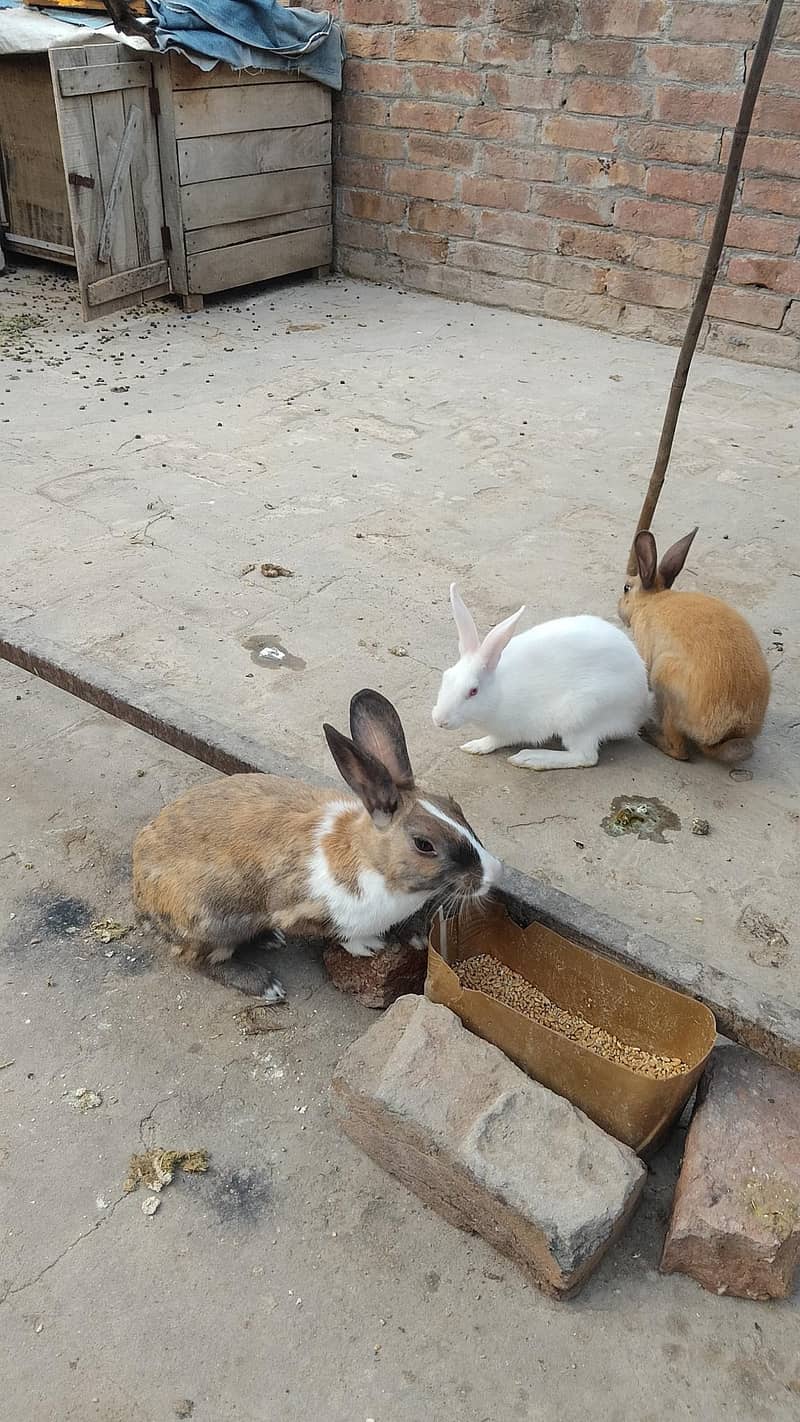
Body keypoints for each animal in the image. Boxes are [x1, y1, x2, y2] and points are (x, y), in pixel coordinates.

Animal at [133, 689, 501, 1000]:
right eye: (424, 844)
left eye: (454, 805)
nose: (491, 874)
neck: (373, 864)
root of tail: (140, 897)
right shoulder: (302, 910)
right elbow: (340, 934)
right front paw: (370, 947)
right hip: (211, 923)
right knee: (200, 960)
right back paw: (266, 985)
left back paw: (270, 939)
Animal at [432, 584, 652, 770]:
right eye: (446, 677)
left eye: (473, 691)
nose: (440, 720)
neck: (498, 693)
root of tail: (639, 709)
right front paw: (474, 746)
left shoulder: (514, 728)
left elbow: (498, 739)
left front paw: (479, 746)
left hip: (581, 716)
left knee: (585, 757)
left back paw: (530, 758)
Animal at [618, 528, 770, 763]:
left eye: (626, 588)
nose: (618, 607)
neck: (651, 601)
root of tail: (725, 732)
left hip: (665, 678)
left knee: (679, 750)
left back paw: (648, 732)